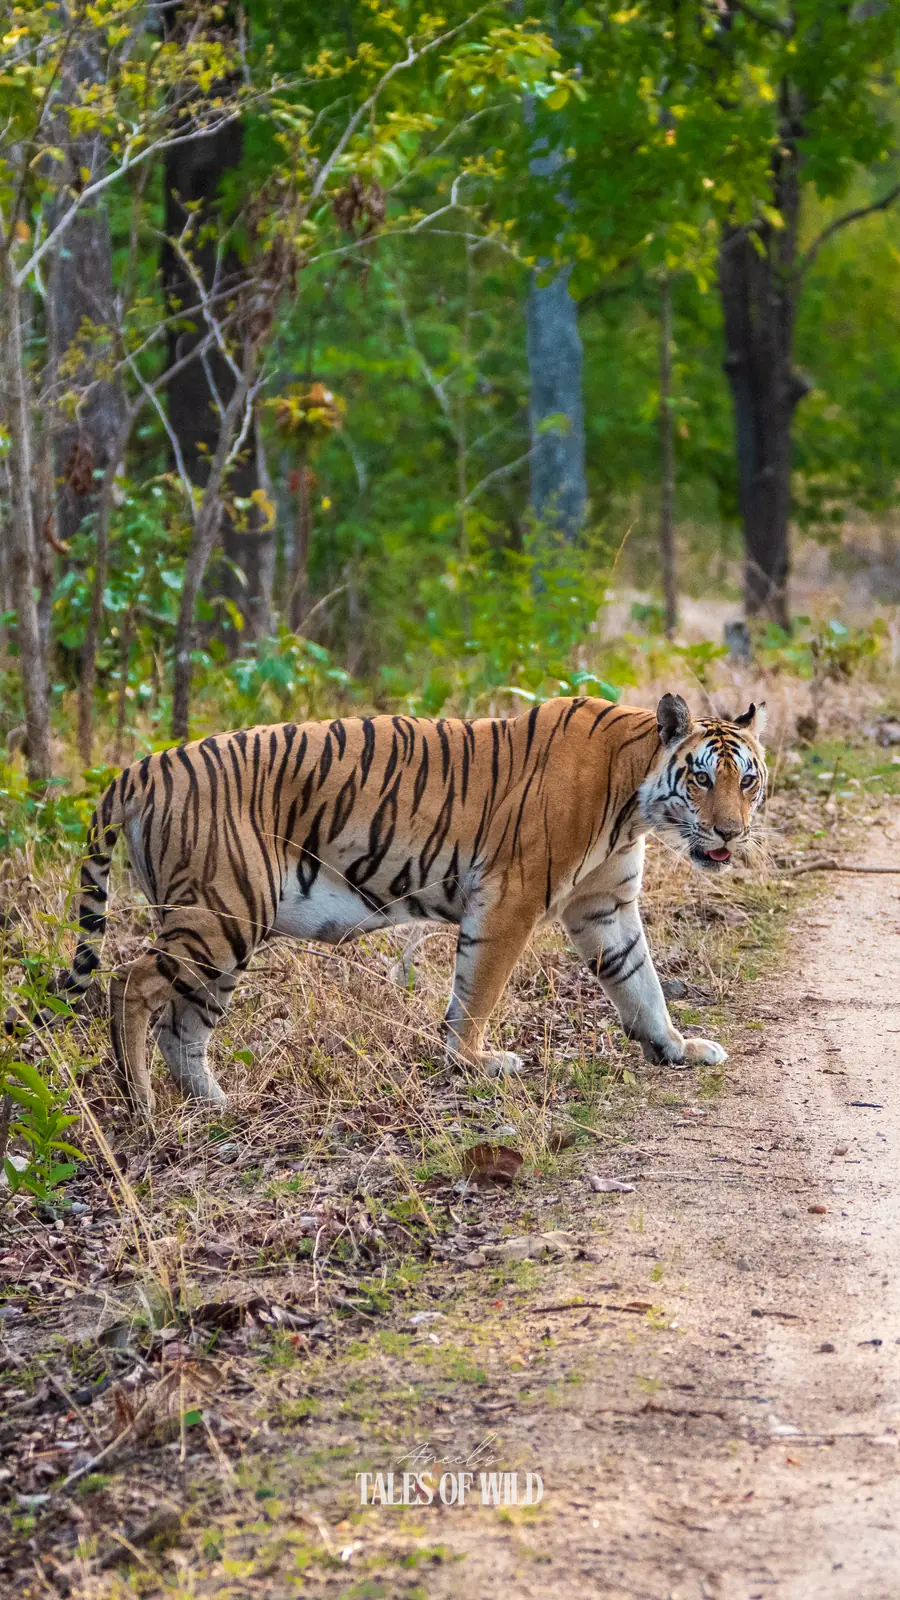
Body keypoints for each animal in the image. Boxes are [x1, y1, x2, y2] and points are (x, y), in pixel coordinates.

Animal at [46, 692, 766, 1123]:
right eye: (701, 777)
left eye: (748, 780)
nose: (730, 834)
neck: (635, 799)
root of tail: (142, 768)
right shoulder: (511, 896)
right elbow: (478, 989)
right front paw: (474, 1064)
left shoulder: (604, 905)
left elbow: (640, 981)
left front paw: (675, 1046)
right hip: (219, 914)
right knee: (128, 984)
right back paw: (141, 1106)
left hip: (227, 933)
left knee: (182, 1026)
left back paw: (217, 1107)